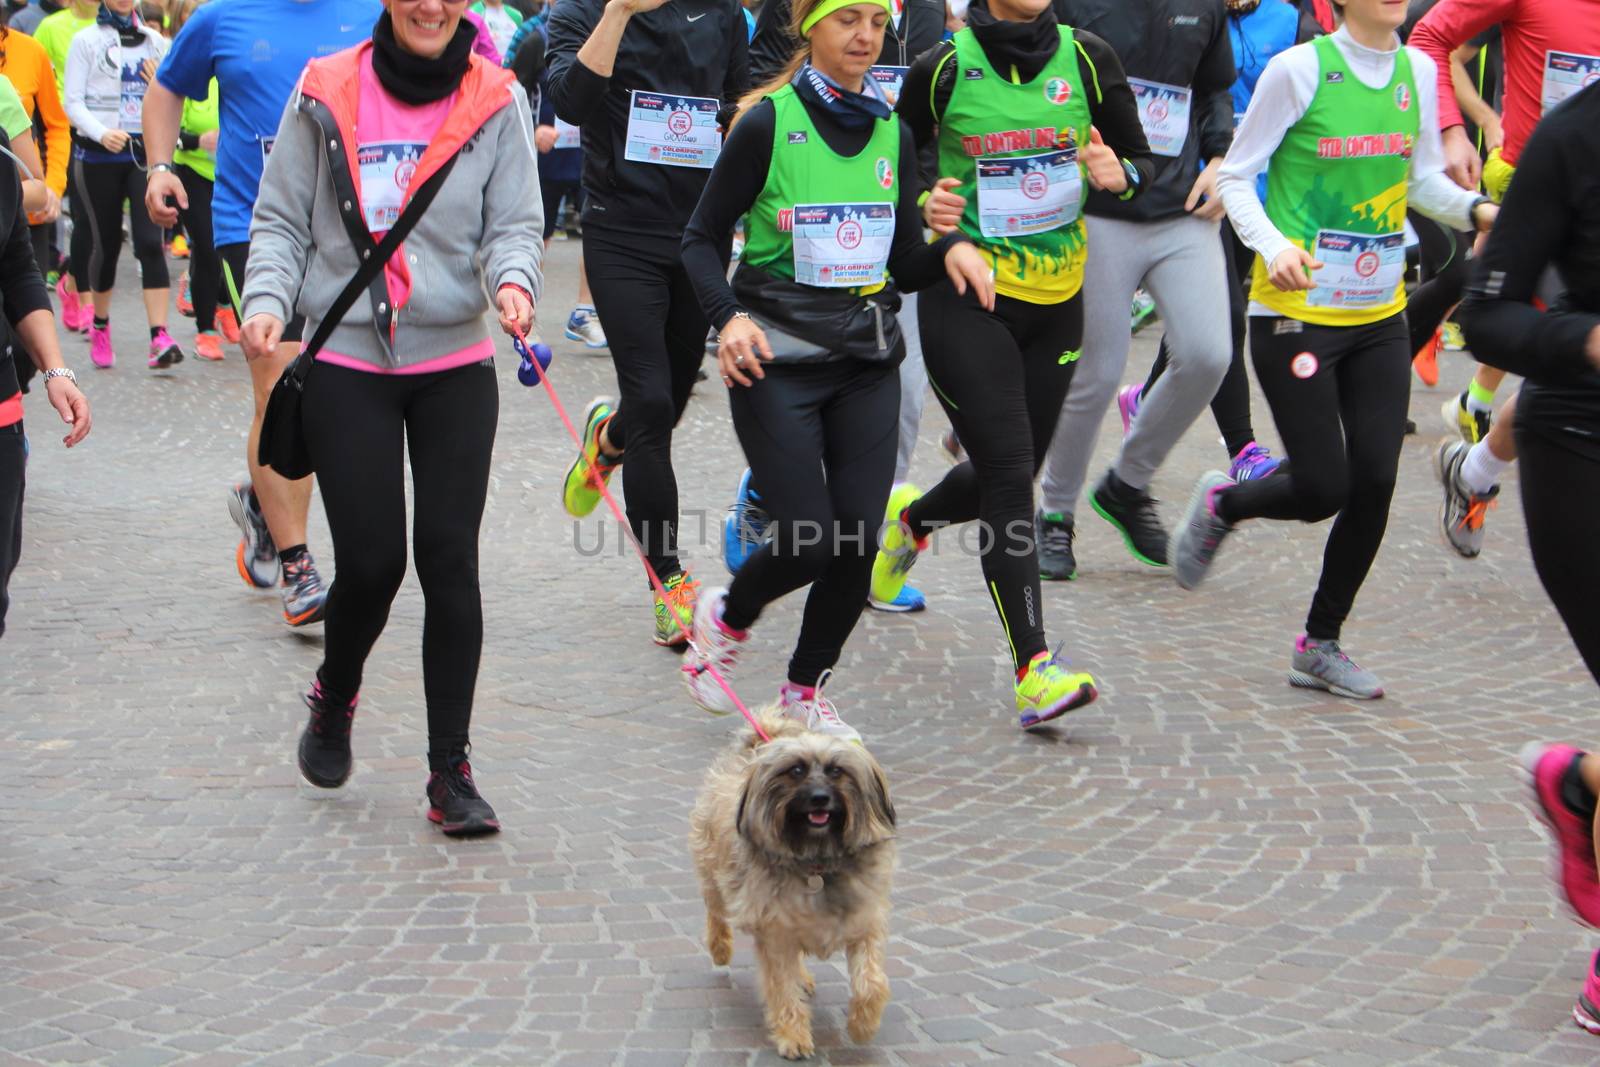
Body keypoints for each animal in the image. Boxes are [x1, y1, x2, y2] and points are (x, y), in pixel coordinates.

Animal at [688, 716, 896, 1062]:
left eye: (836, 771)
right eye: (795, 770)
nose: (820, 798)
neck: (816, 861)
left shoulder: (864, 924)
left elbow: (872, 983)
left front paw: (862, 1026)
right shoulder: (776, 934)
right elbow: (782, 988)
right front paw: (793, 1036)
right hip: (715, 875)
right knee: (715, 912)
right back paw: (720, 948)